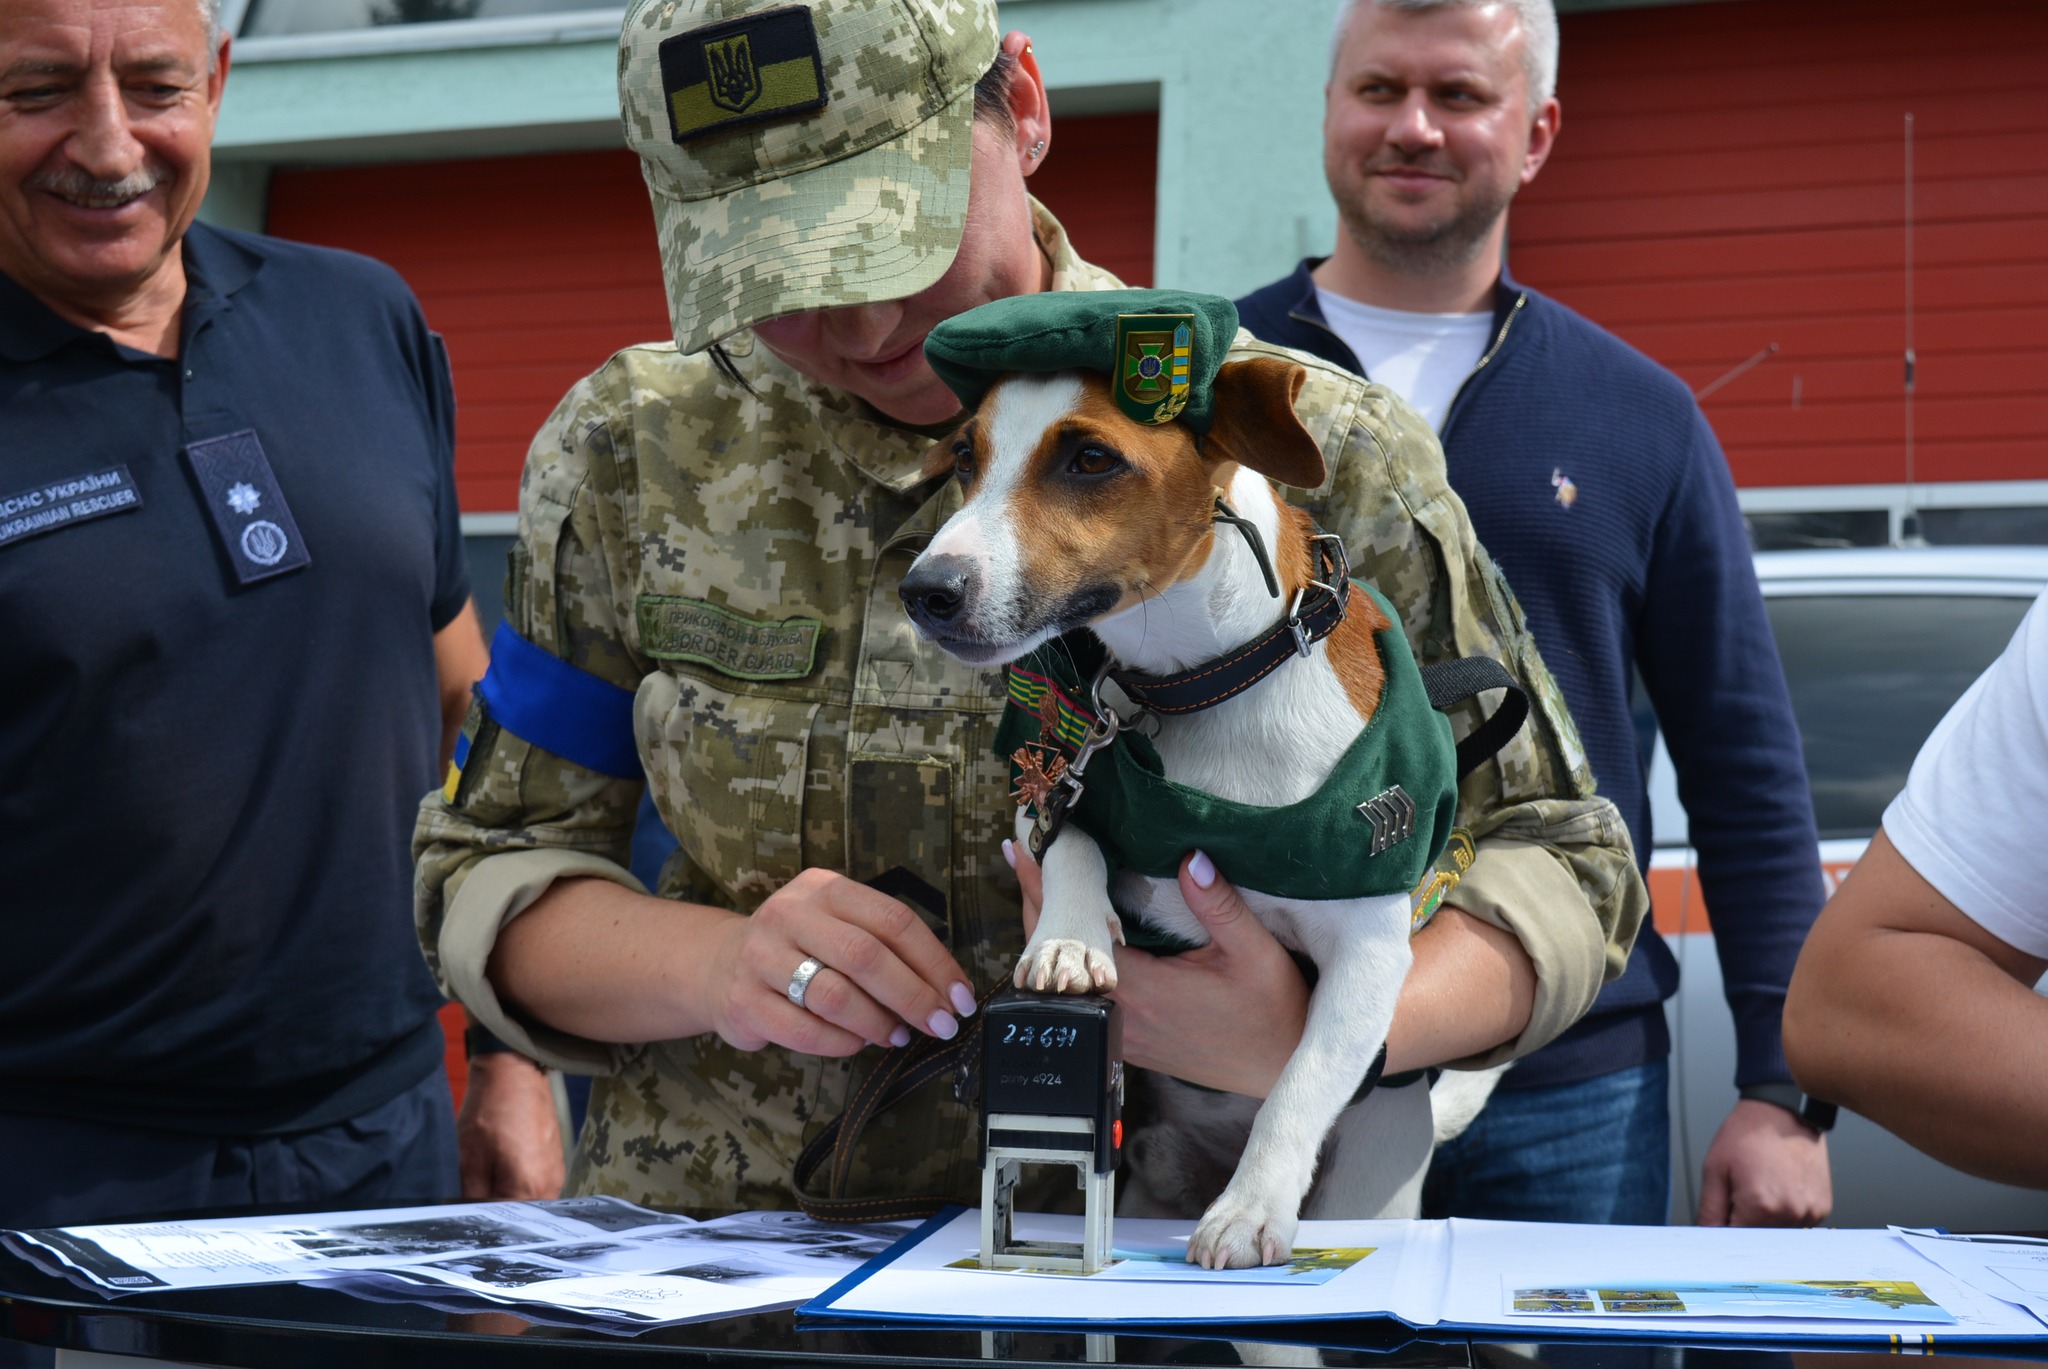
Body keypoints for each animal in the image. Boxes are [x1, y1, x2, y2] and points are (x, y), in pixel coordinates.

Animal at [897, 295, 1474, 1270]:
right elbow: (1074, 843)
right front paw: (1070, 937)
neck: (1192, 683)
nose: (925, 590)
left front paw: (1250, 1207)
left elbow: (1300, 1078)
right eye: (968, 457)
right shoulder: (1044, 786)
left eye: (1091, 459)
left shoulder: (1369, 942)